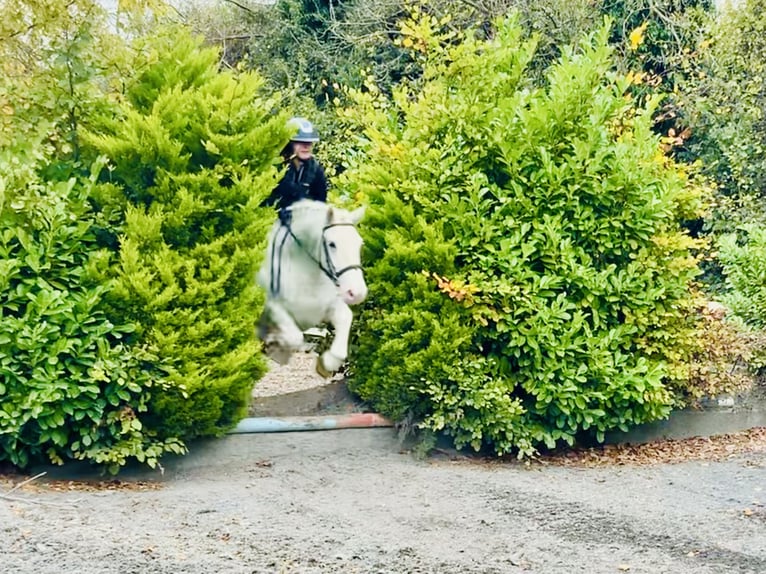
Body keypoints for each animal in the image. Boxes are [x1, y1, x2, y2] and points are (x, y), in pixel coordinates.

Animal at [256, 199, 368, 378]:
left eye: (360, 243)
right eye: (332, 244)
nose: (356, 293)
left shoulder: (327, 306)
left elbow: (345, 318)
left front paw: (327, 363)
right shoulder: (273, 306)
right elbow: (294, 337)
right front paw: (277, 349)